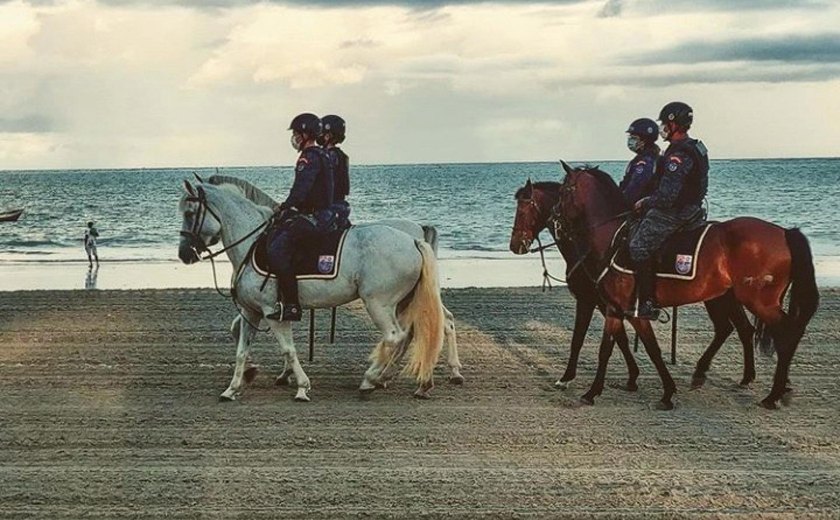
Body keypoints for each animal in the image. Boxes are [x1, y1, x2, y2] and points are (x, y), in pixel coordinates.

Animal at [179, 177, 452, 400]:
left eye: (190, 213)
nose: (184, 254)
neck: (253, 243)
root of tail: (413, 239)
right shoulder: (251, 312)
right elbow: (241, 350)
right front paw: (233, 388)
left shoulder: (273, 313)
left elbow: (288, 349)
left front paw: (301, 386)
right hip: (402, 302)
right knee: (410, 334)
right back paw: (406, 381)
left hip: (379, 304)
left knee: (396, 336)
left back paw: (371, 379)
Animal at [508, 177, 756, 400]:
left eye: (523, 210)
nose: (515, 245)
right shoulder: (610, 305)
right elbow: (622, 338)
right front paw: (631, 377)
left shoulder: (592, 301)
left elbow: (584, 339)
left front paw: (569, 378)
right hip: (721, 297)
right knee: (738, 328)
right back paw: (738, 377)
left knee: (733, 328)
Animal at [552, 164, 820, 410]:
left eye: (564, 190)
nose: (556, 219)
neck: (613, 238)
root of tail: (784, 232)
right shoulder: (615, 309)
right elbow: (613, 348)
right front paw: (596, 391)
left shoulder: (628, 310)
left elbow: (646, 349)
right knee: (744, 330)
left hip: (758, 301)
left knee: (784, 334)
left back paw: (773, 395)